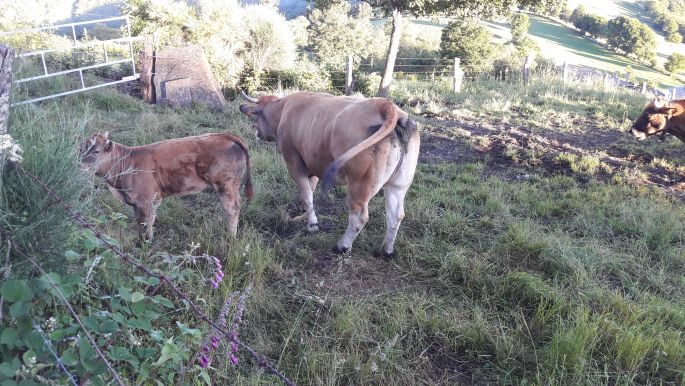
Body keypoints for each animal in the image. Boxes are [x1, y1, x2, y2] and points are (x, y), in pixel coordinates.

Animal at [79, 132, 252, 241]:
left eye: (96, 151)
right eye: (81, 148)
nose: (80, 164)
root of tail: (225, 135)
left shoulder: (142, 201)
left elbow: (142, 224)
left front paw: (142, 244)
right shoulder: (152, 199)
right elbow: (151, 220)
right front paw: (149, 240)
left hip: (226, 184)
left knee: (232, 209)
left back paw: (231, 238)